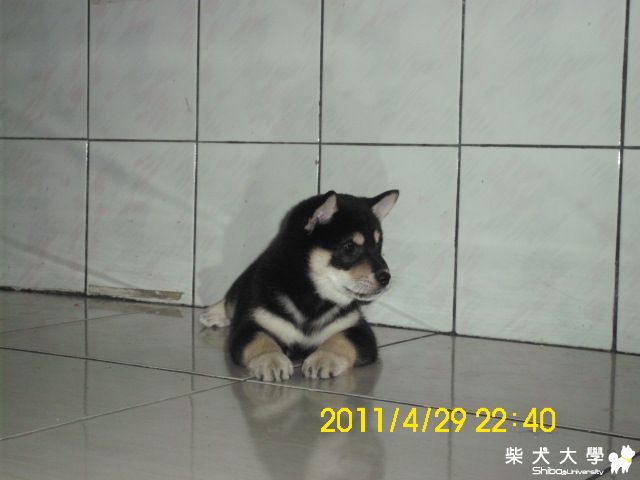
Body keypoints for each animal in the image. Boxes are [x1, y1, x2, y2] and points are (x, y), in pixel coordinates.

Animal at [200, 190, 399, 381]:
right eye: (349, 247)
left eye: (378, 246)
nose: (386, 277)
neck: (313, 298)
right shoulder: (249, 326)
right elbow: (261, 340)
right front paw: (271, 360)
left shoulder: (359, 331)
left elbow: (340, 341)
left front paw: (323, 358)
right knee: (230, 300)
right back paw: (212, 313)